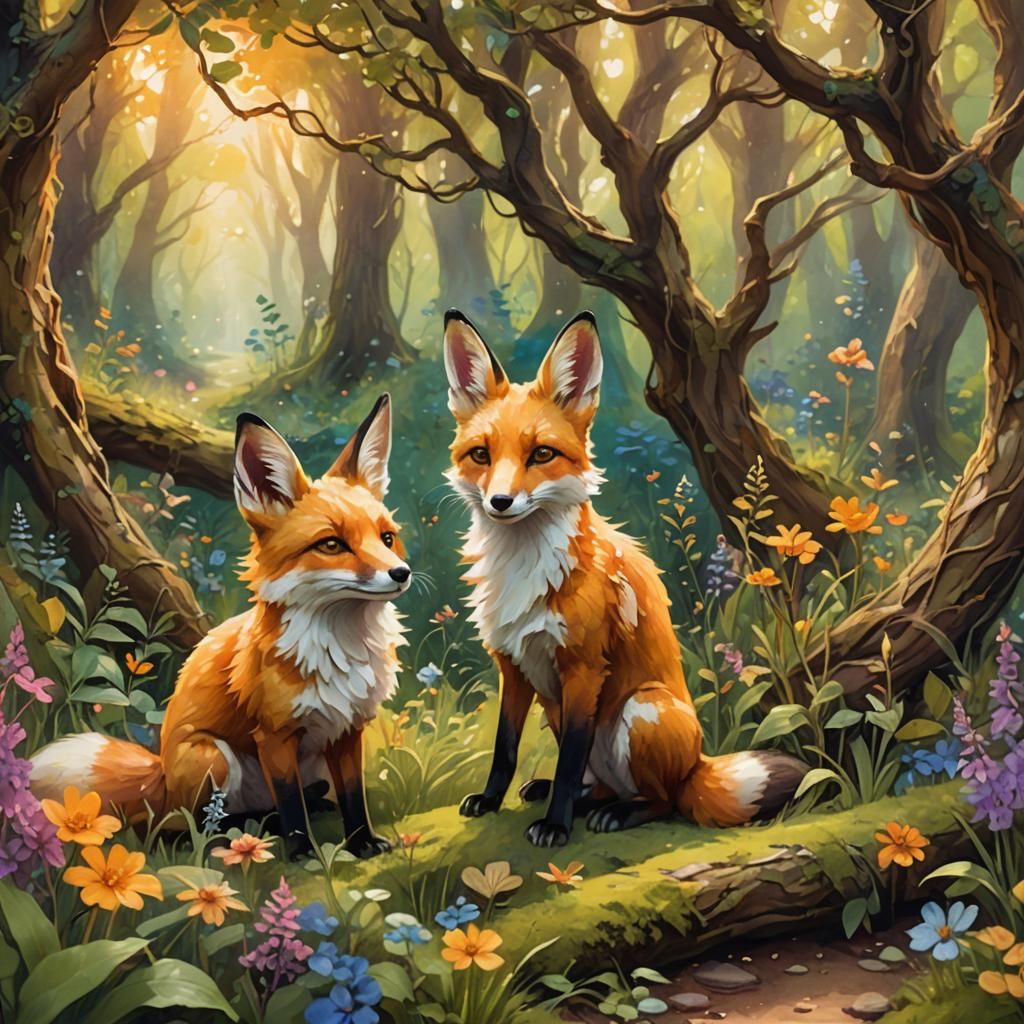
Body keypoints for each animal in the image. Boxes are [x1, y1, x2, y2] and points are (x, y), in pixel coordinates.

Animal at [31, 395, 409, 858]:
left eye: (387, 538)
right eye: (332, 544)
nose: (401, 574)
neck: (338, 652)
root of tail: (160, 772)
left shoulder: (348, 730)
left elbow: (353, 795)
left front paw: (362, 843)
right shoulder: (274, 735)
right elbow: (291, 805)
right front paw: (302, 852)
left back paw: (299, 808)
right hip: (212, 758)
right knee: (180, 826)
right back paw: (247, 827)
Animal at [443, 309, 808, 847]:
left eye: (541, 455)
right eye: (481, 456)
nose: (500, 502)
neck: (523, 571)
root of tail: (697, 763)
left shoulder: (584, 668)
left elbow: (569, 762)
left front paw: (555, 826)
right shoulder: (513, 665)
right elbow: (505, 749)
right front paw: (491, 801)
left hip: (640, 710)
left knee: (662, 801)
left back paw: (614, 813)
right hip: (561, 712)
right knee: (598, 785)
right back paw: (573, 797)